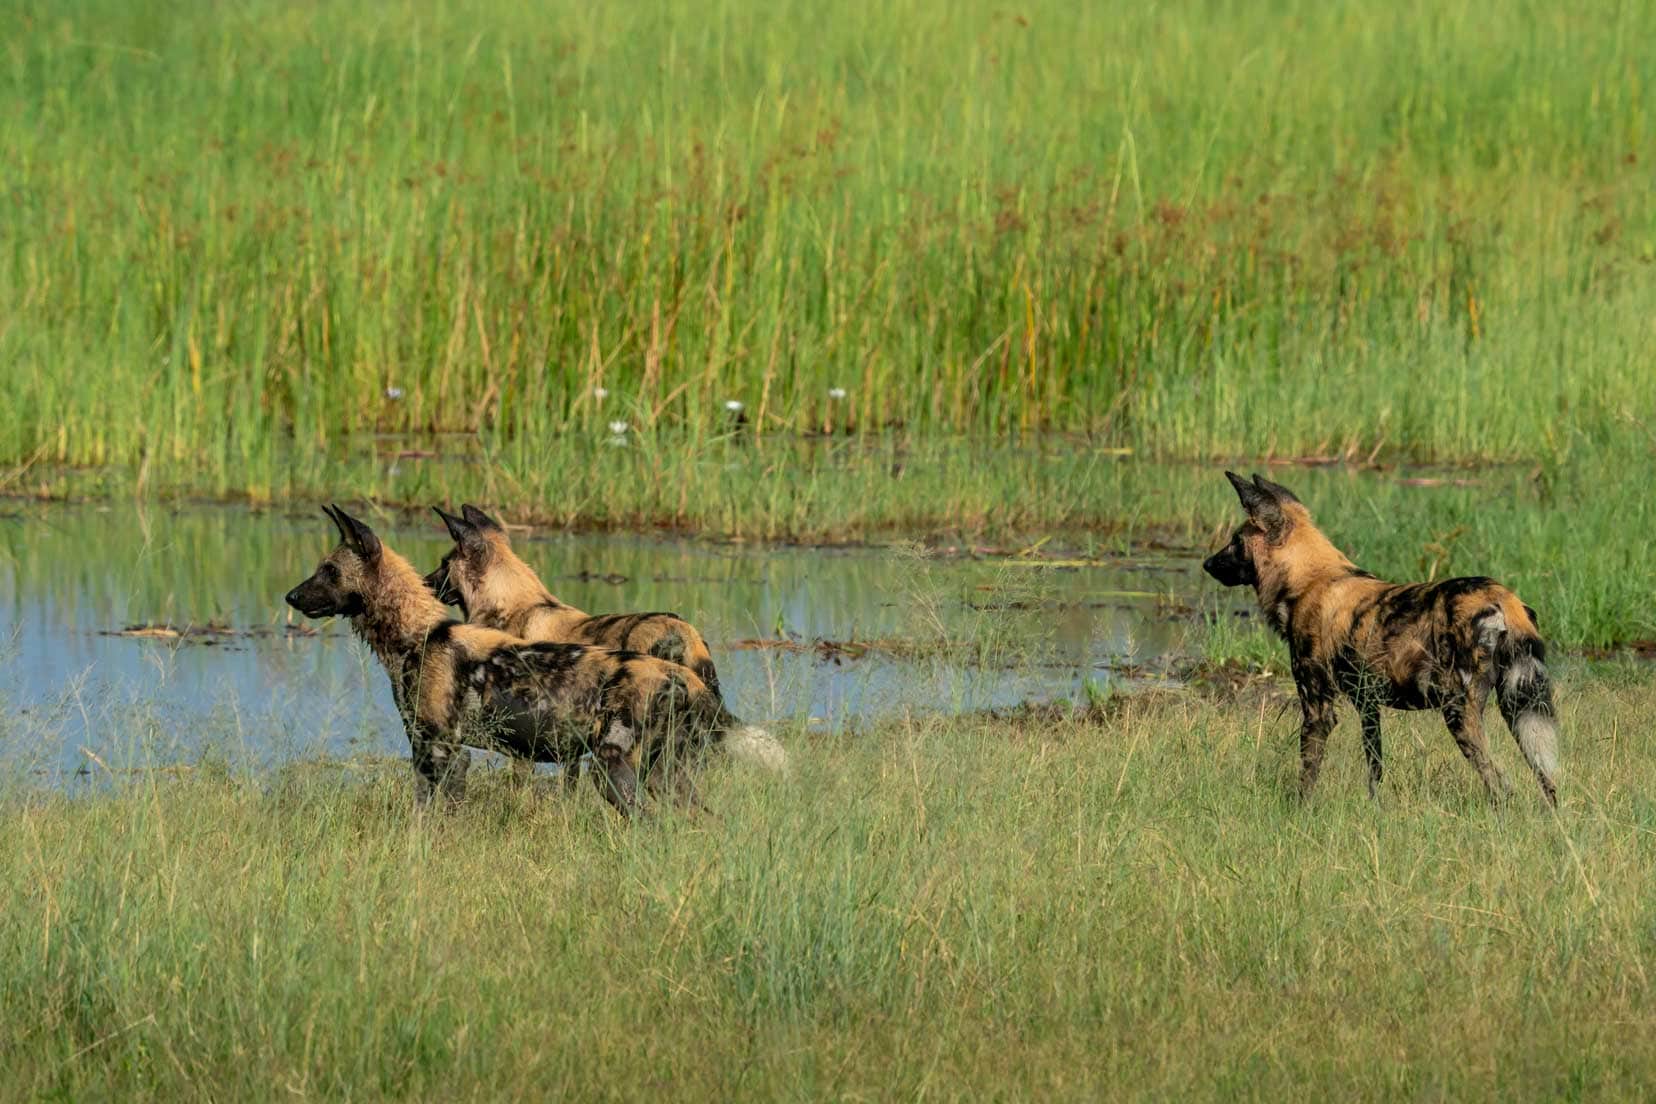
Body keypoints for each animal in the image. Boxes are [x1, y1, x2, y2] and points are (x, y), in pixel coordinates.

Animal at [284, 506, 751, 817]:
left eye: (329, 570)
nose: (289, 596)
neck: (419, 635)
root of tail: (684, 673)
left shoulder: (443, 752)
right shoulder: (429, 752)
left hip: (613, 771)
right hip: (664, 776)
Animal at [1198, 470, 1556, 807]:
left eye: (1235, 541)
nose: (1207, 563)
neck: (1310, 581)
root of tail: (1503, 597)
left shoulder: (1318, 709)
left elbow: (1307, 774)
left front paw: (1299, 811)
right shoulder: (1368, 705)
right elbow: (1376, 770)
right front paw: (1375, 810)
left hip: (1460, 712)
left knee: (1502, 783)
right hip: (1522, 709)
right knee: (1547, 778)